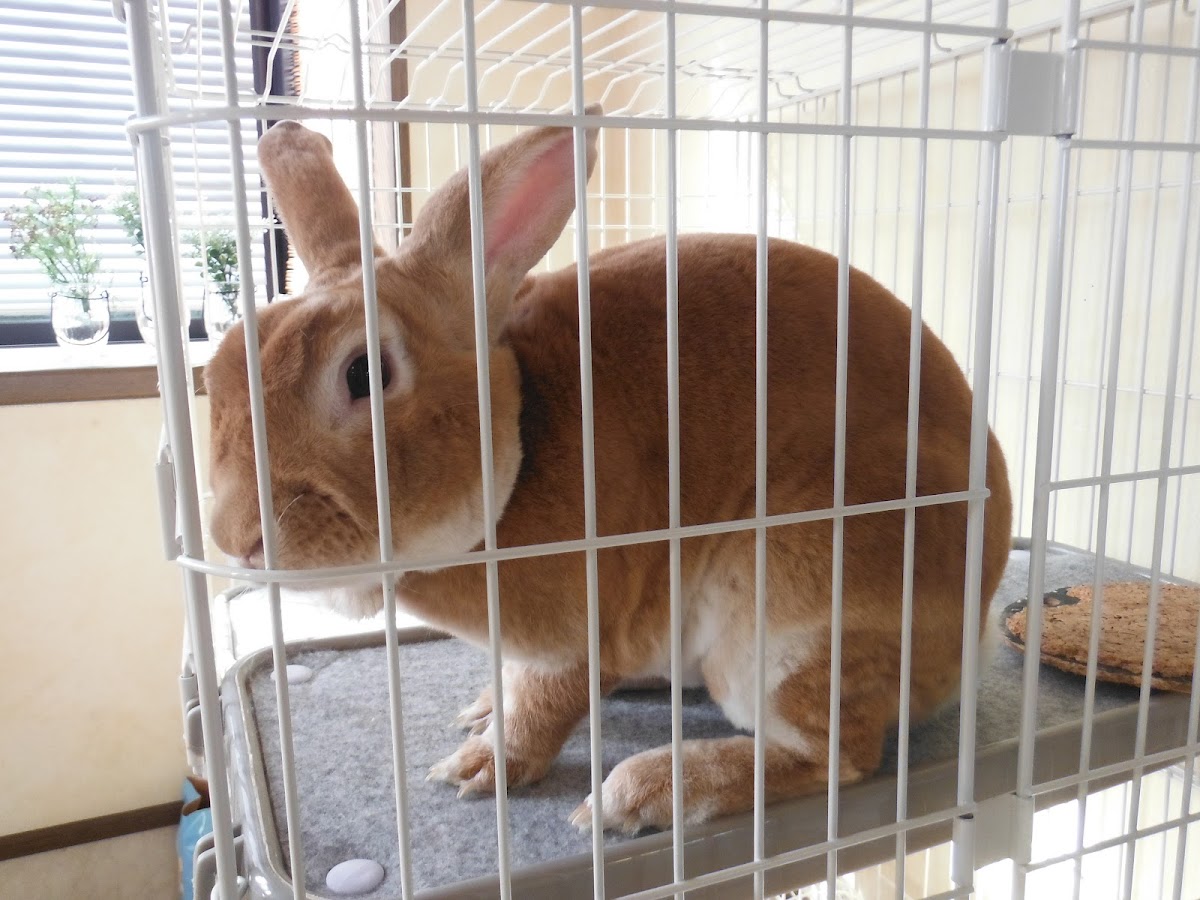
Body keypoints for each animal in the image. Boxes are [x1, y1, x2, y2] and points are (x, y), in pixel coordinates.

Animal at [205, 108, 1012, 834]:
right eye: (218, 368)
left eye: (363, 374)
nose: (236, 540)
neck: (518, 441)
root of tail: (968, 634)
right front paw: (485, 710)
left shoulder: (577, 631)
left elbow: (546, 704)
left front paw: (480, 767)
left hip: (795, 610)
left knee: (834, 756)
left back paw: (643, 793)